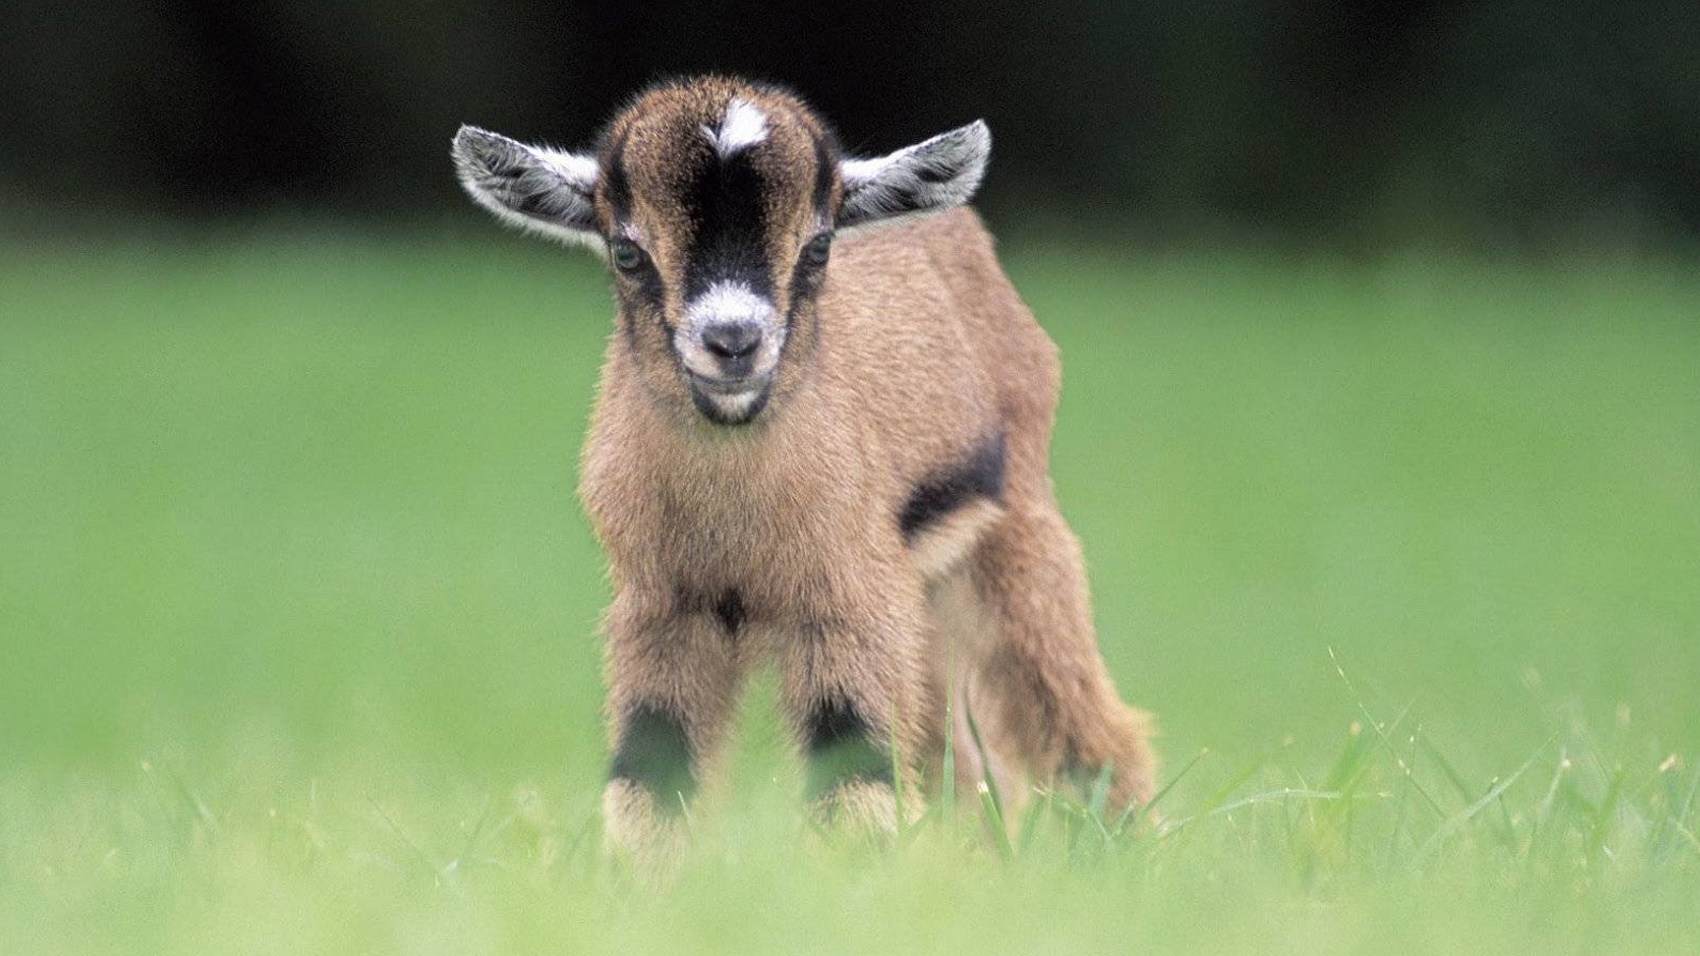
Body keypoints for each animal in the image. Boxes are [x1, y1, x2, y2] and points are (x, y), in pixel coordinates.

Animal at [451, 76, 1155, 855]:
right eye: (627, 253)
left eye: (817, 247)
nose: (733, 342)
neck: (733, 528)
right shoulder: (663, 610)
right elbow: (651, 773)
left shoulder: (848, 602)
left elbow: (856, 773)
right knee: (961, 765)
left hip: (1013, 537)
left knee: (1085, 729)